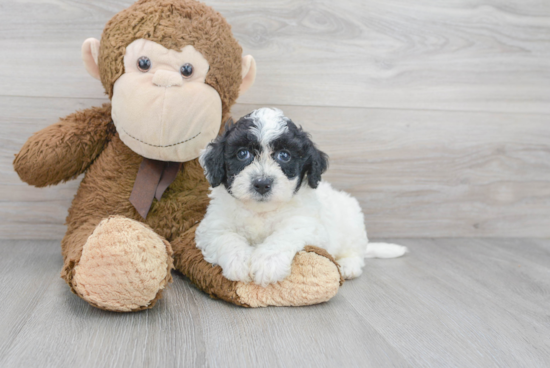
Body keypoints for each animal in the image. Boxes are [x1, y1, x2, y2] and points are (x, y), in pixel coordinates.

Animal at [196, 108, 408, 286]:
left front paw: (268, 263)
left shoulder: (306, 223)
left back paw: (348, 266)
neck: (262, 211)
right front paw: (239, 262)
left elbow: (284, 235)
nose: (262, 183)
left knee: (355, 252)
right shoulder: (214, 226)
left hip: (352, 222)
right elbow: (227, 238)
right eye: (242, 154)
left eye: (284, 155)